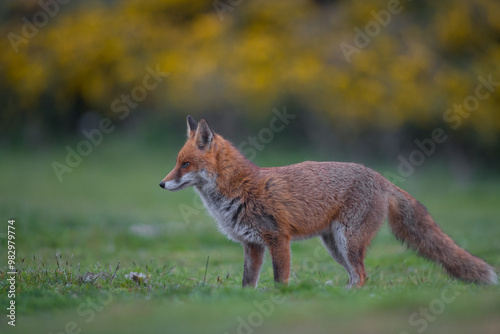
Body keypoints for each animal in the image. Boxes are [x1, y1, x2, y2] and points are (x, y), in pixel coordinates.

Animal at [159, 115, 496, 288]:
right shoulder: (252, 245)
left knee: (362, 275)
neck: (238, 189)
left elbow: (280, 280)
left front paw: (279, 300)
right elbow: (247, 282)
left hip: (347, 241)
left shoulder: (278, 239)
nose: (161, 184)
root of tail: (380, 177)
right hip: (334, 245)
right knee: (356, 275)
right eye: (177, 163)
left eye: (185, 165)